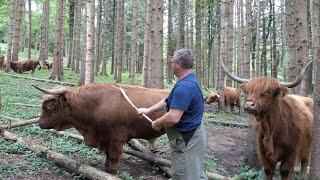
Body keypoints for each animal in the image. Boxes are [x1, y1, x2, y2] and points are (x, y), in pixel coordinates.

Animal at [32, 84, 170, 174]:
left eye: (50, 105)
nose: (40, 123)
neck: (97, 104)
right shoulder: (105, 138)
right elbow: (107, 155)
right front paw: (106, 169)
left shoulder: (116, 139)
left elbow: (114, 156)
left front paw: (113, 173)